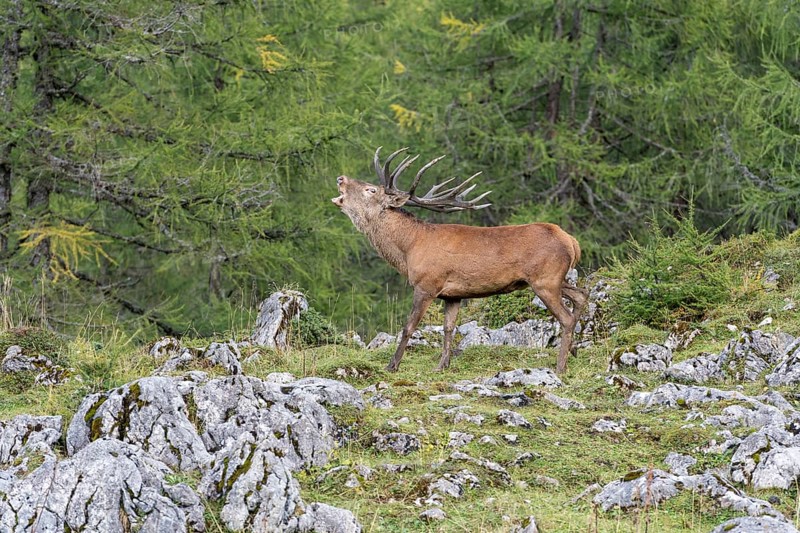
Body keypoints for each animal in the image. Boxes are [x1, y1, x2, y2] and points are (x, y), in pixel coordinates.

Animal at [332, 147, 589, 374]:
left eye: (371, 190)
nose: (340, 178)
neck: (409, 248)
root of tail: (571, 241)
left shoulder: (427, 284)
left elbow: (409, 327)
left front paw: (392, 366)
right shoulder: (452, 295)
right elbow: (448, 328)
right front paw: (441, 365)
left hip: (545, 279)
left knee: (566, 317)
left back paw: (560, 367)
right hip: (556, 279)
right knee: (581, 295)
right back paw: (574, 351)